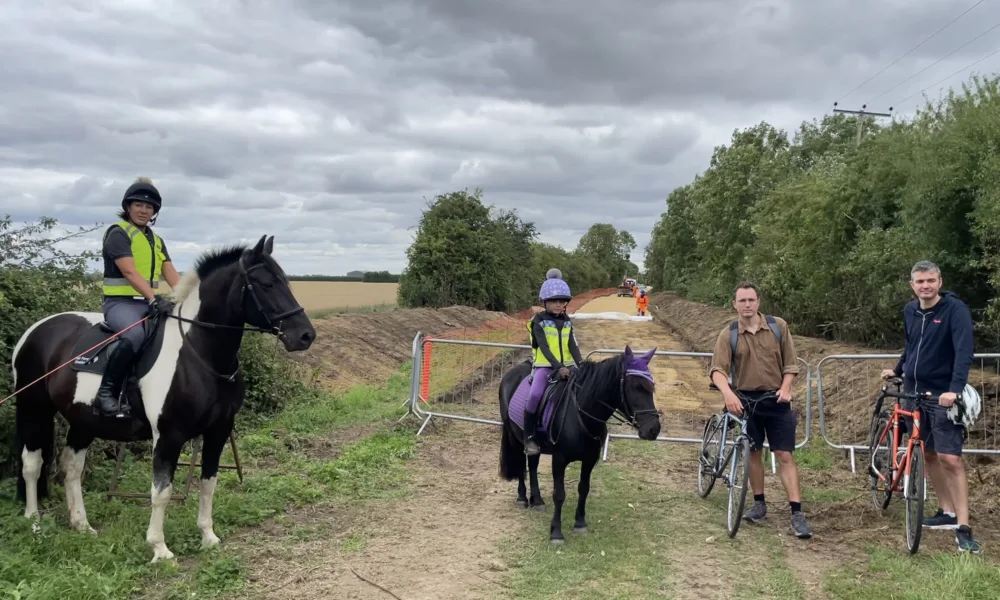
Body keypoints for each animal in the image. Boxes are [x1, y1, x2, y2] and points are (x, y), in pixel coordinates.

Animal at [9, 234, 314, 564]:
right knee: (32, 464)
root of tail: (36, 330)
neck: (199, 353)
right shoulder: (169, 436)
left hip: (83, 421)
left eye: (286, 281)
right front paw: (159, 548)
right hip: (33, 408)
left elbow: (209, 483)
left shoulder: (218, 431)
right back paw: (33, 522)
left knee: (71, 467)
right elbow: (162, 492)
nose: (305, 336)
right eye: (266, 284)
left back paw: (82, 525)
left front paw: (208, 537)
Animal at [496, 342, 660, 544]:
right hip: (515, 437)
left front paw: (580, 524)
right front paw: (556, 533)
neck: (580, 414)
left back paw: (538, 500)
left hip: (534, 444)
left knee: (532, 465)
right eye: (635, 385)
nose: (653, 429)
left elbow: (584, 489)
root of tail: (511, 373)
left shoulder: (589, 460)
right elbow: (559, 494)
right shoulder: (559, 460)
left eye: (651, 386)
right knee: (521, 464)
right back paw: (522, 499)